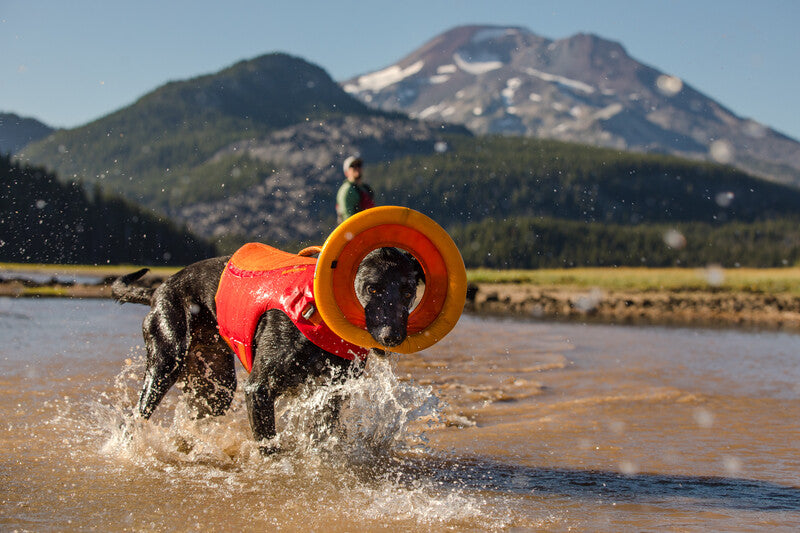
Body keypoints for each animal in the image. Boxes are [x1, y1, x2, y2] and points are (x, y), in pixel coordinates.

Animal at [115, 247, 424, 450]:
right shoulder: (259, 389)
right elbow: (269, 447)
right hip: (166, 361)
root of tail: (157, 290)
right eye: (371, 288)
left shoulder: (330, 396)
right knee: (136, 415)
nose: (391, 337)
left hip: (216, 388)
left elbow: (321, 437)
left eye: (408, 292)